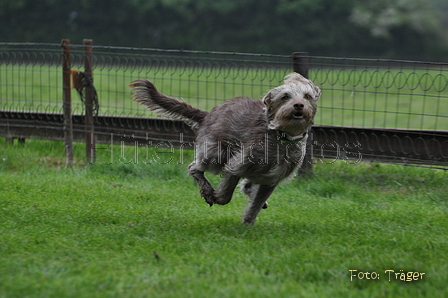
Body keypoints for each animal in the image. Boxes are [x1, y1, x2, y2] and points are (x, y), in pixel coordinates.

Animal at [129, 73, 318, 225]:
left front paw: (248, 224)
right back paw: (206, 188)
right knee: (194, 167)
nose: (299, 105)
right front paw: (214, 196)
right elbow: (226, 195)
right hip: (216, 152)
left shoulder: (271, 179)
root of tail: (209, 114)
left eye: (307, 96)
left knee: (247, 186)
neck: (281, 137)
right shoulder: (237, 165)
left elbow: (255, 204)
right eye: (285, 97)